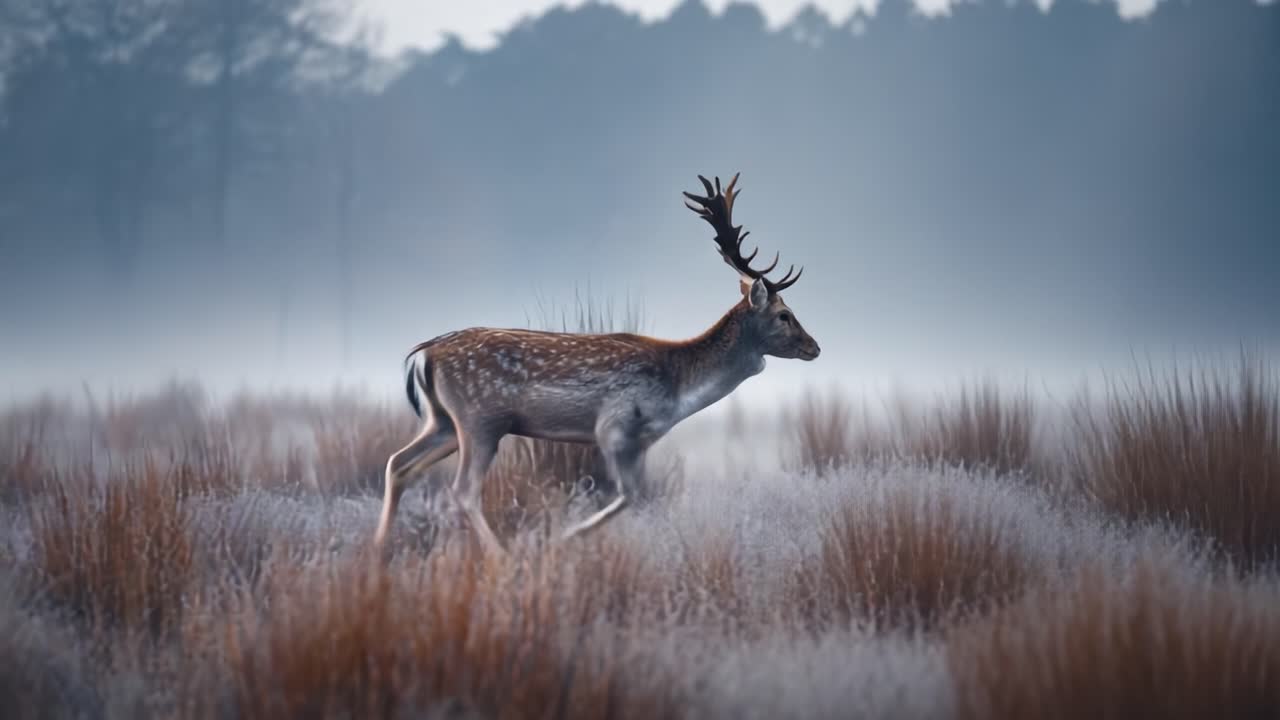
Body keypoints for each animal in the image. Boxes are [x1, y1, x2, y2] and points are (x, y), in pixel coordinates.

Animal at [373, 173, 820, 556]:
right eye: (784, 315)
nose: (814, 347)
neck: (678, 389)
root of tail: (425, 353)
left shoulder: (643, 442)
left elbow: (636, 496)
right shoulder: (614, 426)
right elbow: (629, 496)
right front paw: (564, 538)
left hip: (444, 422)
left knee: (398, 464)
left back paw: (379, 549)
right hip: (480, 420)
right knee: (462, 490)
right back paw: (501, 557)